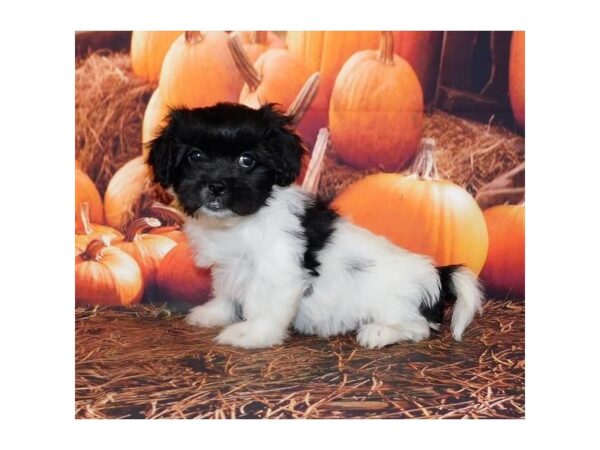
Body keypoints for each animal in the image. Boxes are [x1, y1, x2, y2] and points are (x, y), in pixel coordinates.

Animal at [148, 103, 486, 350]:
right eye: (194, 156)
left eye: (247, 160)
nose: (216, 186)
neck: (242, 222)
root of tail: (437, 273)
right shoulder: (227, 267)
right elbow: (226, 291)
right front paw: (215, 313)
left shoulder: (278, 269)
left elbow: (264, 303)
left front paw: (252, 334)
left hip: (393, 302)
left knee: (419, 327)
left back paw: (379, 333)